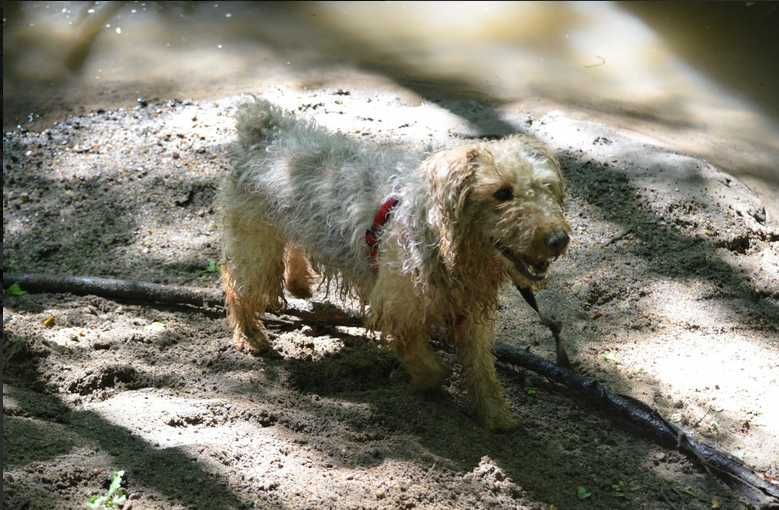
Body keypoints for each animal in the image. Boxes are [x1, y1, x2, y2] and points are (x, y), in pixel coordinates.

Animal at [221, 98, 572, 430]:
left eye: (546, 187)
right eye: (502, 193)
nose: (558, 240)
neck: (445, 242)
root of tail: (265, 131)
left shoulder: (470, 314)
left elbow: (481, 369)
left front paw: (496, 416)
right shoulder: (398, 307)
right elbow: (431, 366)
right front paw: (422, 381)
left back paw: (300, 283)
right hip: (257, 249)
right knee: (236, 285)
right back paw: (250, 336)